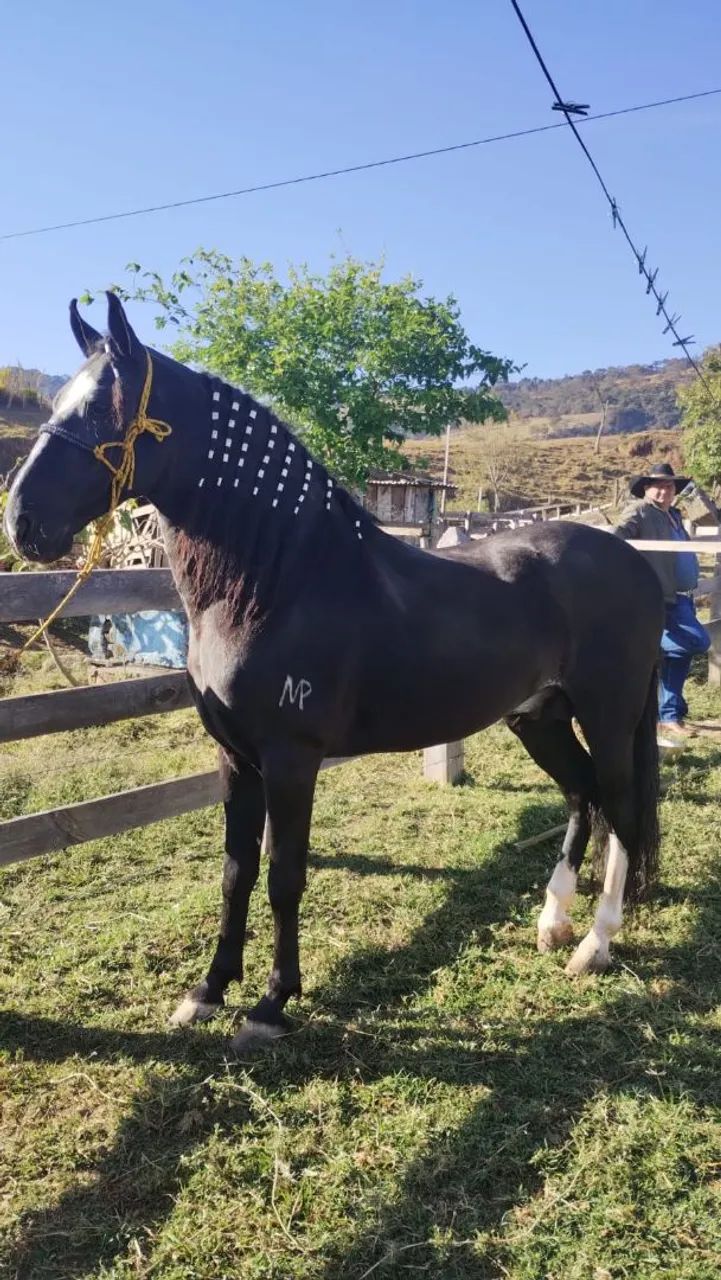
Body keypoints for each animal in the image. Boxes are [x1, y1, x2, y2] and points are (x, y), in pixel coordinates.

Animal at [4, 295, 664, 1051]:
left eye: (100, 410)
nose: (22, 522)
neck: (278, 582)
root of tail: (636, 565)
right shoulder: (235, 758)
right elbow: (234, 872)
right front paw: (207, 992)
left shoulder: (291, 759)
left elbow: (283, 877)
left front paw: (270, 1004)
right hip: (540, 717)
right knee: (581, 796)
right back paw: (552, 923)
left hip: (607, 717)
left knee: (620, 809)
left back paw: (595, 945)